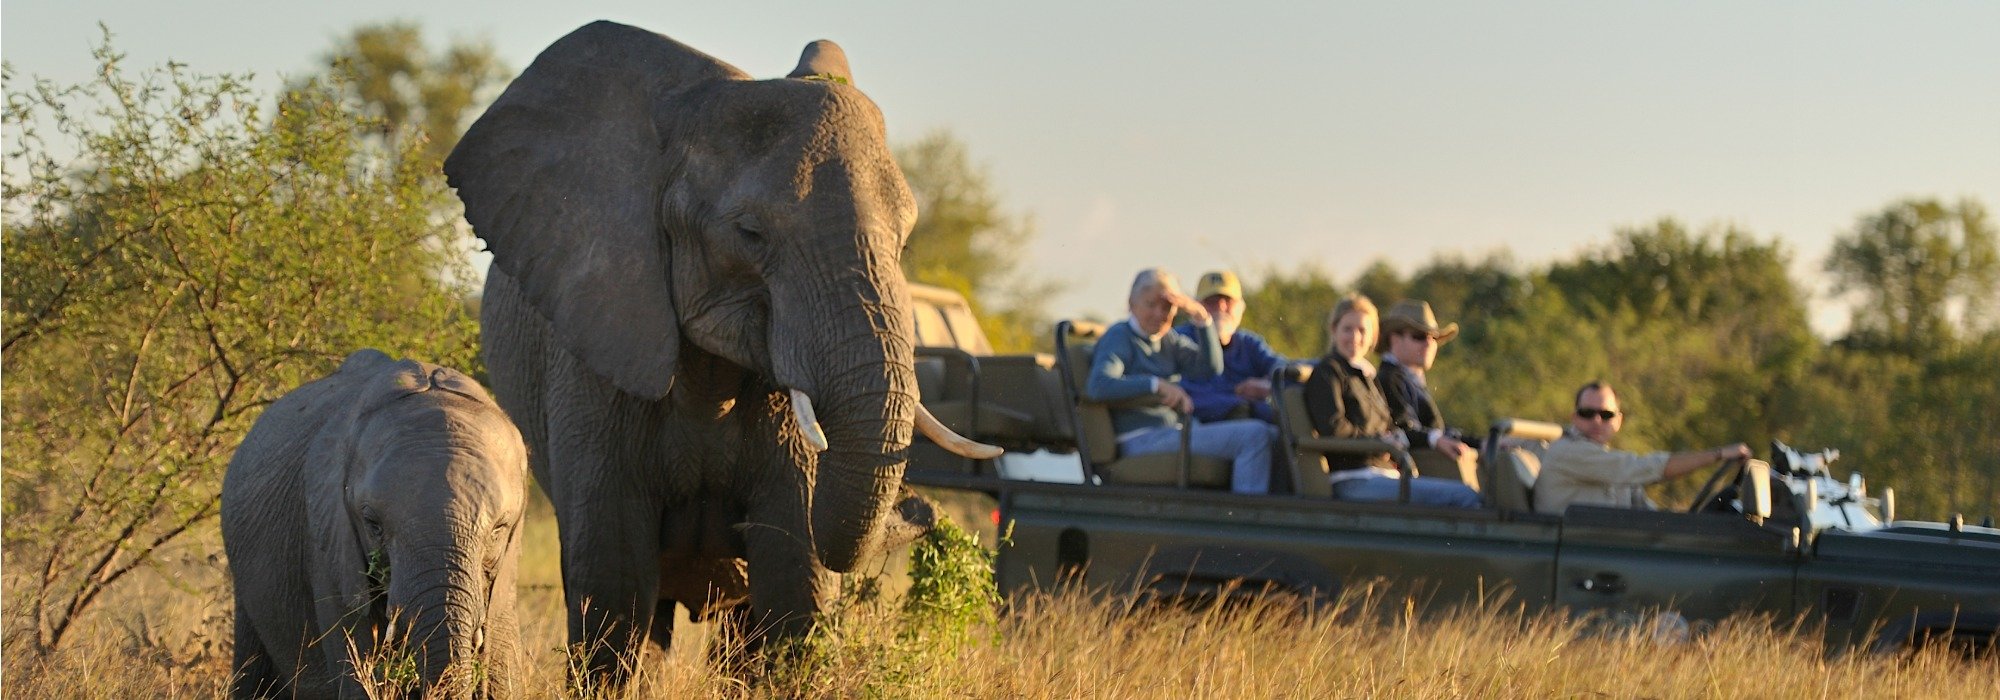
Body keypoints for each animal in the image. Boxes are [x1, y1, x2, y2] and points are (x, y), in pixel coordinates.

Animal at [444, 20, 992, 680]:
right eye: (750, 233)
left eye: (905, 241)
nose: (925, 510)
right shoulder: (597, 344)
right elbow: (611, 580)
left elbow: (795, 580)